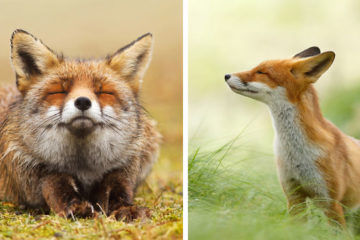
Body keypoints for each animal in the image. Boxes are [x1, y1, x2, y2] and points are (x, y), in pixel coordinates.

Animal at [0, 29, 160, 220]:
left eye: (104, 92)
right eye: (60, 91)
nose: (83, 102)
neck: (84, 168)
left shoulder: (121, 168)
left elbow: (118, 192)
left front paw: (126, 208)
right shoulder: (35, 170)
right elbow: (57, 187)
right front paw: (75, 206)